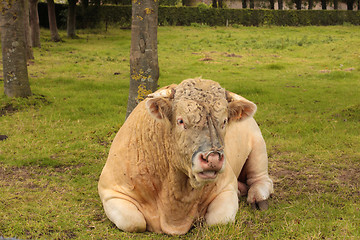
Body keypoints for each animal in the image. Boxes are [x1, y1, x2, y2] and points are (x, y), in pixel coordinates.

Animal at [98, 78, 272, 234]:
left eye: (224, 121)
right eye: (181, 121)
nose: (213, 158)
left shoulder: (227, 186)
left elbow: (219, 220)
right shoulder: (110, 190)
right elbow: (133, 222)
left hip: (259, 146)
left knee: (262, 179)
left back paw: (258, 197)